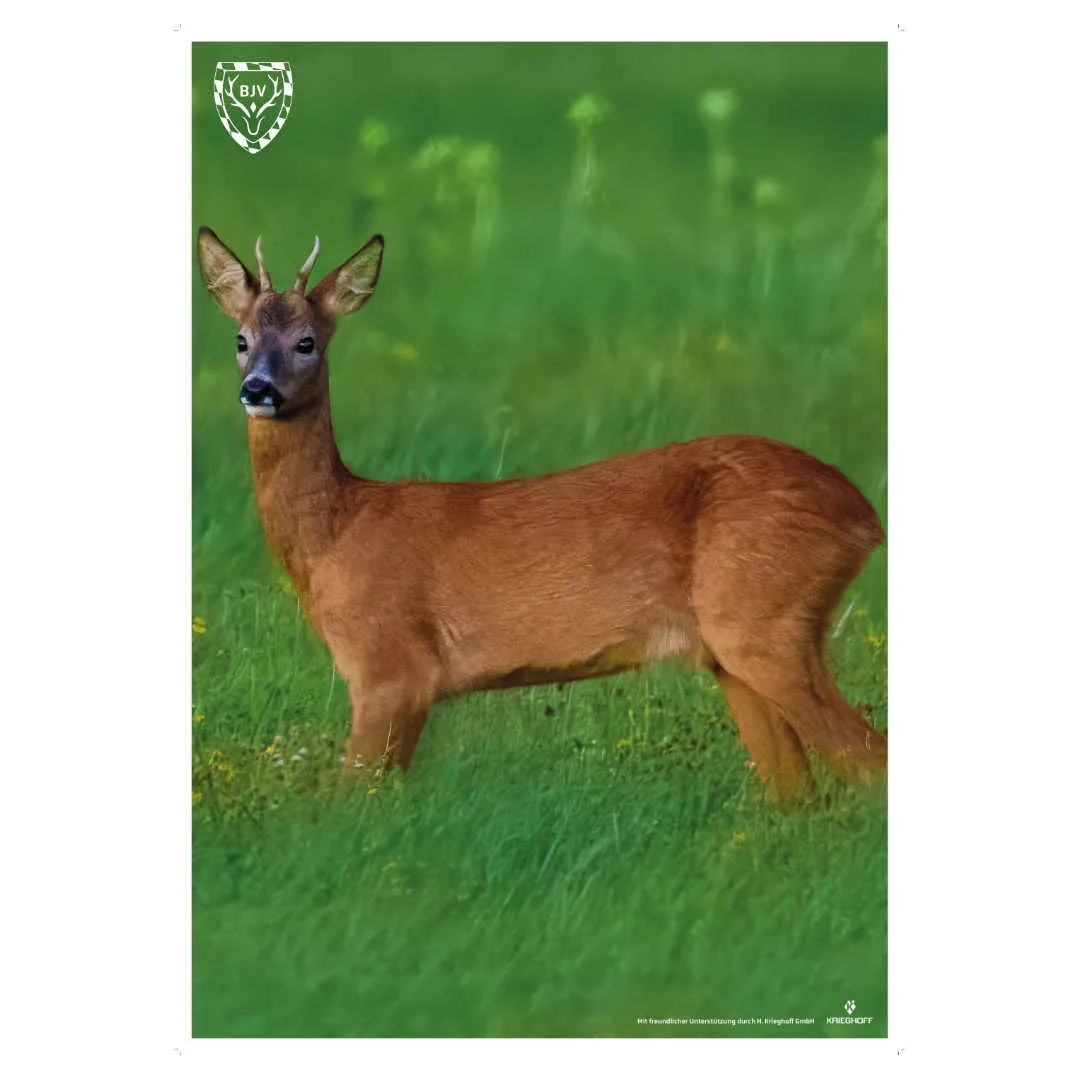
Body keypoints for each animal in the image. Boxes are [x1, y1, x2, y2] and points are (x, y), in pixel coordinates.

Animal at [196, 227, 887, 799]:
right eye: (240, 339)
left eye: (307, 342)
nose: (257, 389)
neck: (336, 532)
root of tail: (864, 514)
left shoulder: (390, 665)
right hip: (734, 652)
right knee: (796, 791)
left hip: (765, 619)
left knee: (867, 760)